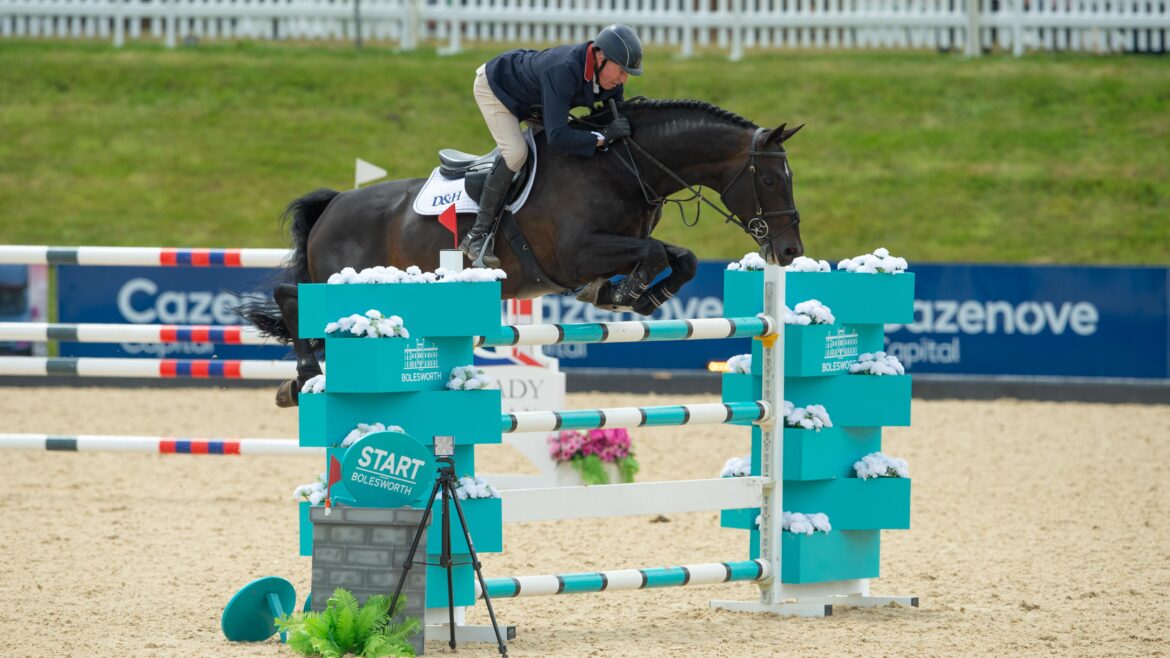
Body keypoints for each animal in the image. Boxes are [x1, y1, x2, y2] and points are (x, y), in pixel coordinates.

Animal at [237, 97, 804, 405]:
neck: (618, 165)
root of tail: (334, 203)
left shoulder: (619, 243)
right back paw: (304, 375)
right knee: (290, 296)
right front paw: (628, 292)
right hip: (341, 279)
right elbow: (657, 255)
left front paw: (635, 296)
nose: (790, 251)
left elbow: (678, 258)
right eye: (771, 179)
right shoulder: (578, 253)